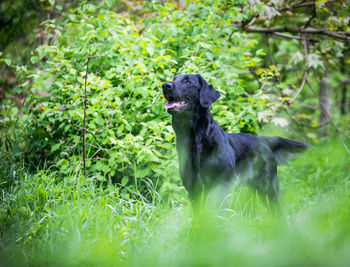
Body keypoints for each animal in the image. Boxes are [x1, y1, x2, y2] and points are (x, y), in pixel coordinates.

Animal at [161, 74, 306, 201]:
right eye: (174, 78)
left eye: (187, 81)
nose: (165, 85)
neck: (197, 140)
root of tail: (263, 140)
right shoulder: (193, 189)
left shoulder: (221, 186)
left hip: (269, 187)